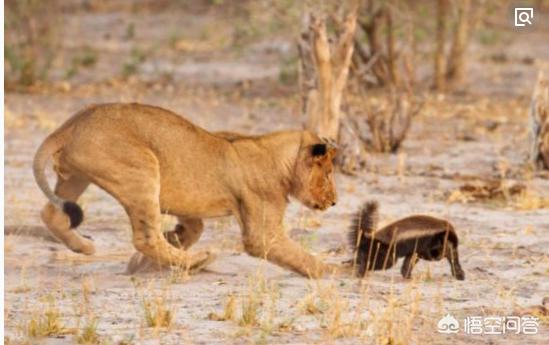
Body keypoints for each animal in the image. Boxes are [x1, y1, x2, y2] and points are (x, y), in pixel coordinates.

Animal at [33, 102, 338, 276]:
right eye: (329, 173)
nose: (335, 202)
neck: (279, 159)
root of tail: (72, 123)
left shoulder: (190, 209)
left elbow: (191, 230)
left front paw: (145, 261)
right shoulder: (262, 234)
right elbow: (298, 255)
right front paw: (332, 271)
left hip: (76, 177)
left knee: (52, 214)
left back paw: (84, 247)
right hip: (141, 170)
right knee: (145, 238)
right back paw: (199, 260)